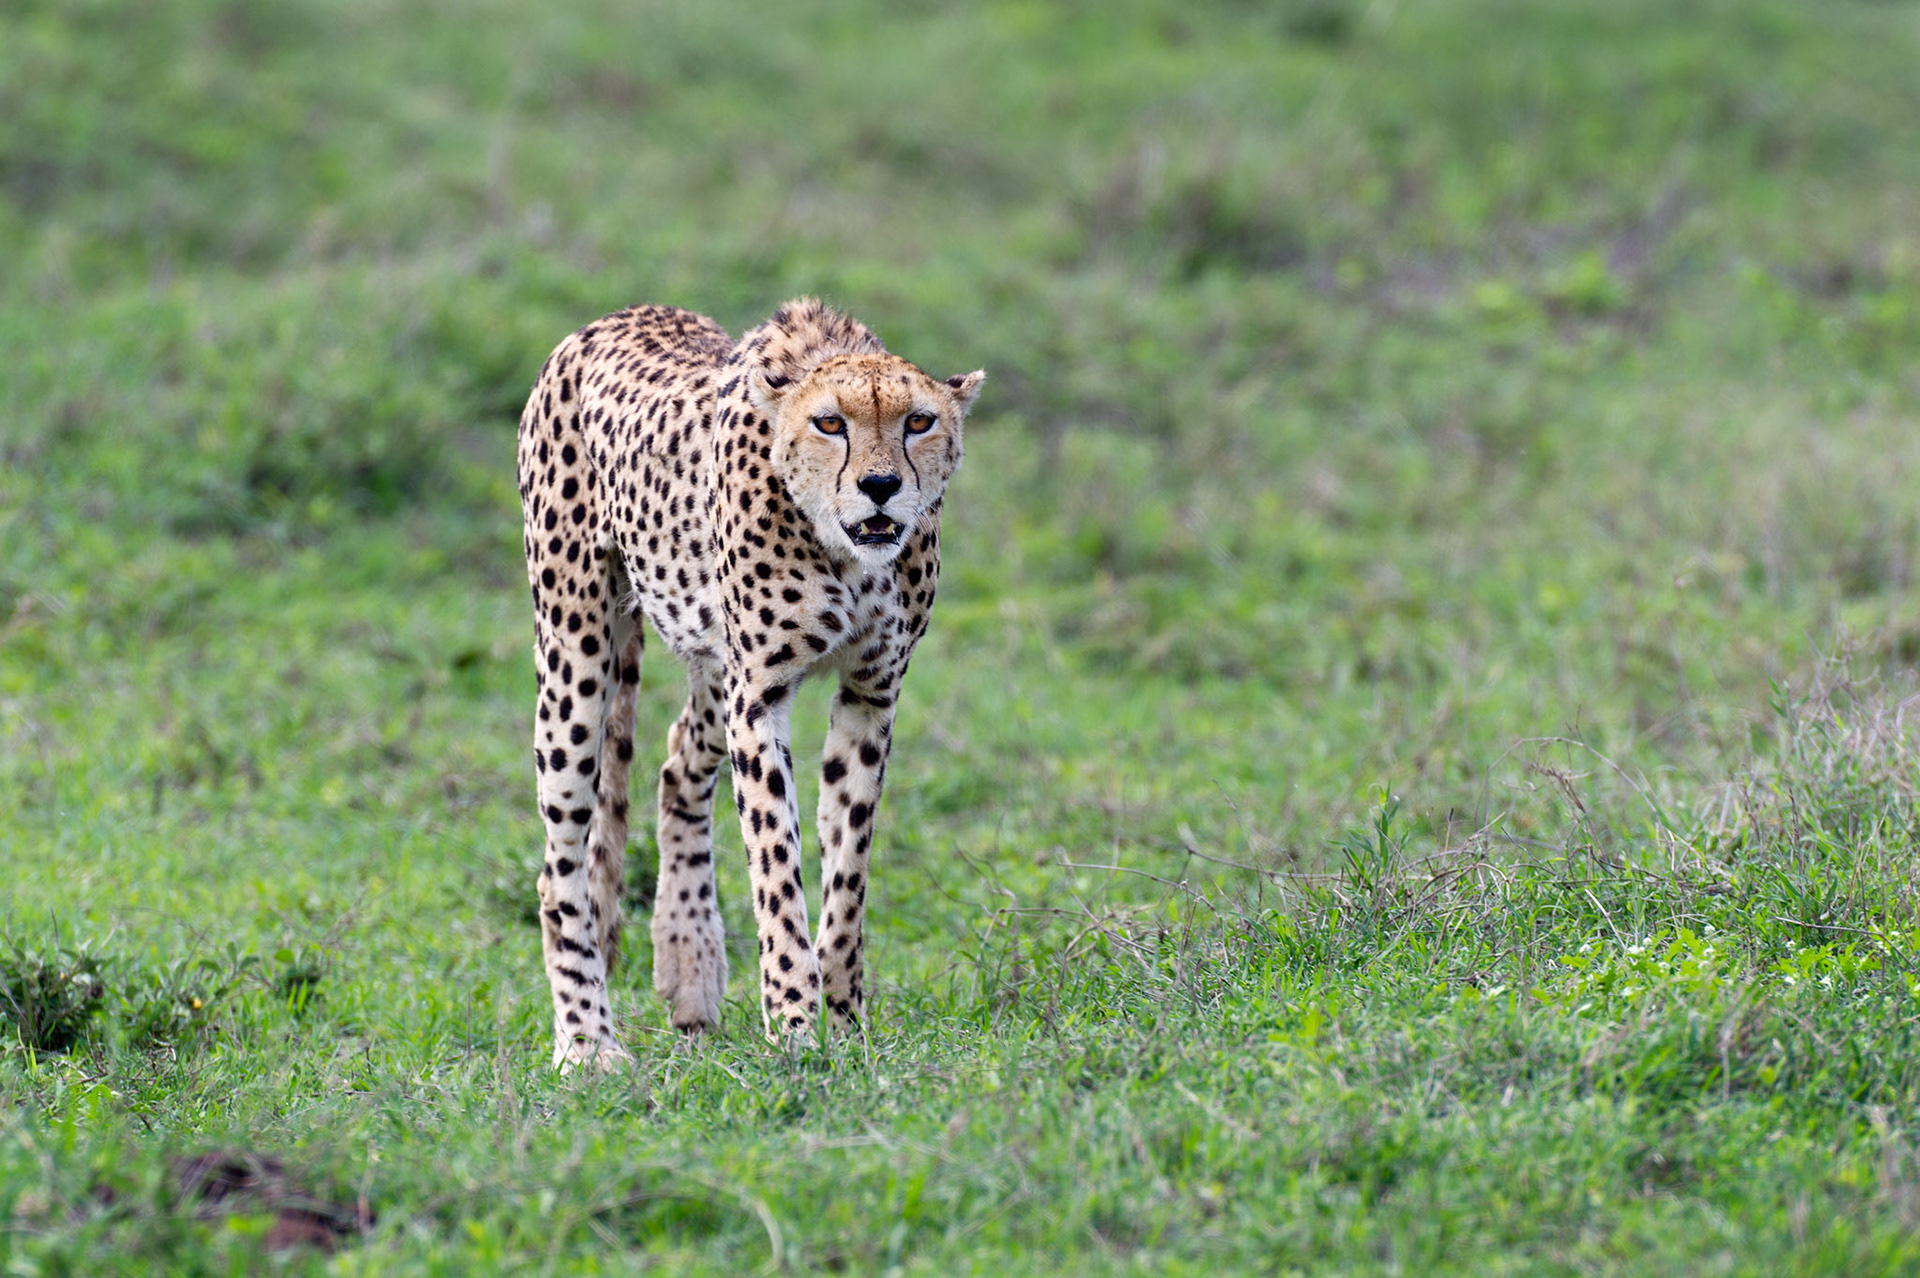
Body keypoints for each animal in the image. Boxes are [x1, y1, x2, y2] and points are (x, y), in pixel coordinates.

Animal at [515, 296, 984, 1069]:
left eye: (919, 421)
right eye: (830, 423)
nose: (880, 487)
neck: (845, 554)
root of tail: (618, 314)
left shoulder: (870, 695)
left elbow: (847, 870)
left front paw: (845, 1018)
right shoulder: (759, 700)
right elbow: (776, 869)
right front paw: (793, 1025)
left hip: (711, 670)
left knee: (676, 762)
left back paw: (690, 965)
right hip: (574, 649)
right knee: (561, 869)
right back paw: (586, 1044)